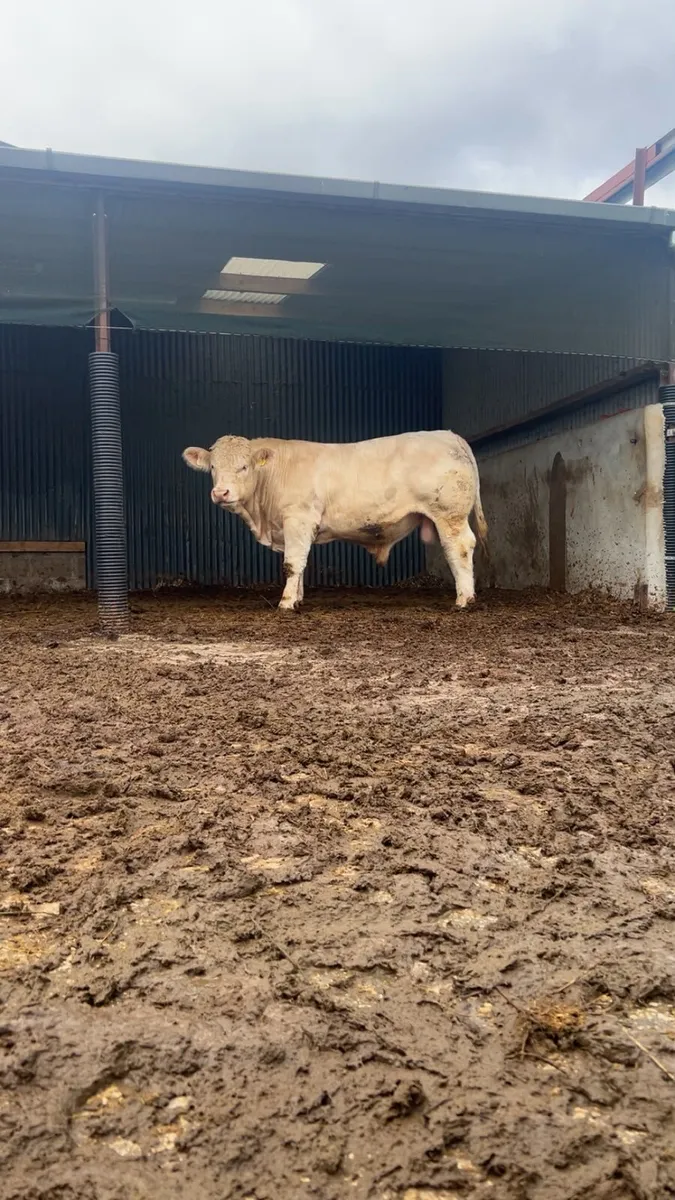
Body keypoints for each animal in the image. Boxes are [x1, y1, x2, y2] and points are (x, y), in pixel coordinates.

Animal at [182, 430, 487, 612]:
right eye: (213, 467)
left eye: (243, 467)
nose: (221, 493)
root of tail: (449, 435)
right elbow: (300, 564)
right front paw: (298, 598)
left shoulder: (298, 518)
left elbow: (292, 564)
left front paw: (286, 602)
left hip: (449, 514)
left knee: (459, 548)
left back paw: (464, 599)